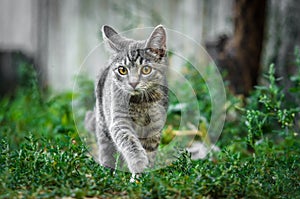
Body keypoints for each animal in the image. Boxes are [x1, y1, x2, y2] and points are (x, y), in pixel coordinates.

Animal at [84, 25, 169, 176]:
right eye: (122, 70)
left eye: (146, 69)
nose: (133, 83)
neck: (141, 103)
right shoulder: (119, 120)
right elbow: (129, 141)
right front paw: (138, 164)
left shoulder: (155, 126)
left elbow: (150, 150)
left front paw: (145, 173)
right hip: (103, 121)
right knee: (107, 149)